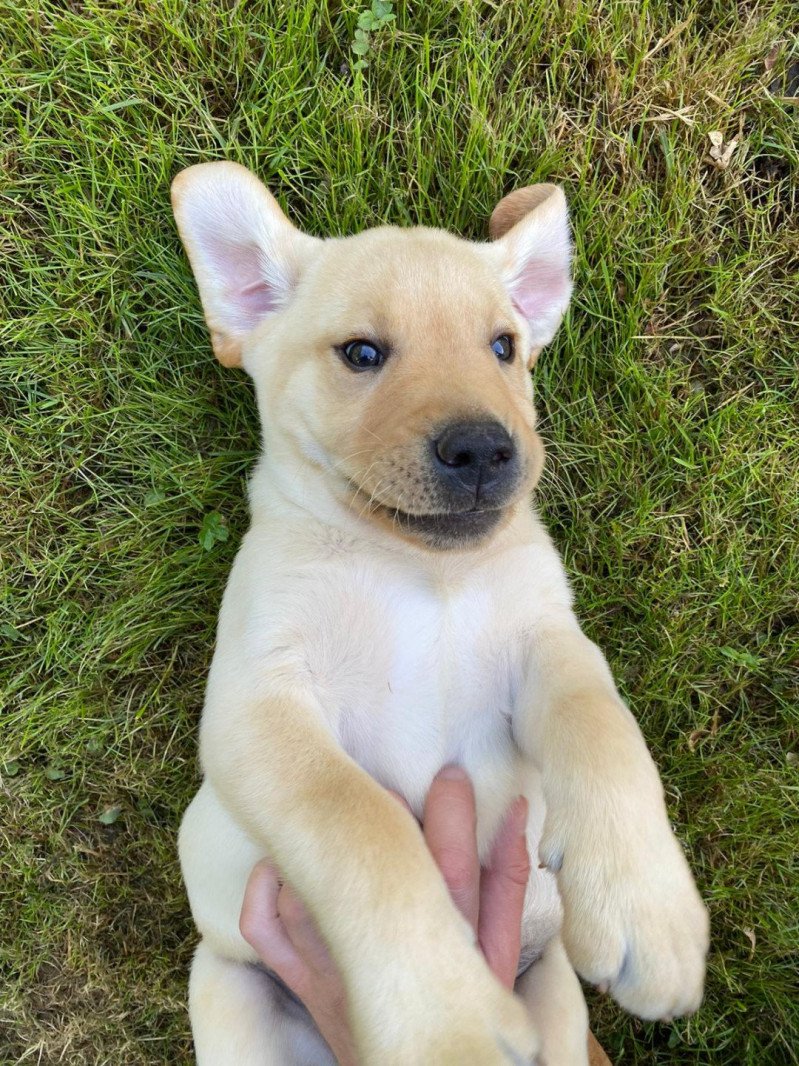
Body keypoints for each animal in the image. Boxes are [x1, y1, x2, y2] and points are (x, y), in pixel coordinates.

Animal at [170, 159, 707, 1066]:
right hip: (228, 989)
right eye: (360, 353)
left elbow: (603, 728)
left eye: (504, 347)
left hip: (553, 994)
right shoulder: (259, 706)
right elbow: (361, 824)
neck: (419, 571)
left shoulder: (548, 643)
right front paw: (443, 1017)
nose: (484, 448)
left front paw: (646, 903)